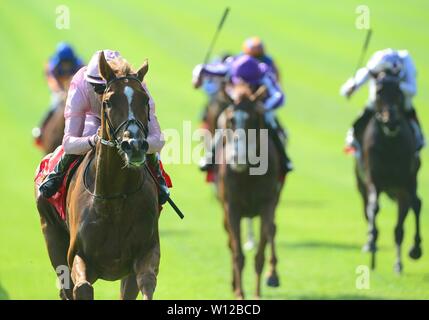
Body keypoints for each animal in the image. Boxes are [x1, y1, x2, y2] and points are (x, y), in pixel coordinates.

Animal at [216, 84, 282, 298]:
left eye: (253, 119)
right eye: (230, 119)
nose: (237, 158)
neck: (248, 174)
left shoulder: (267, 204)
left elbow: (261, 249)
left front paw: (257, 293)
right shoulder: (232, 207)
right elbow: (237, 252)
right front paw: (239, 292)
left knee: (272, 230)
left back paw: (273, 275)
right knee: (230, 241)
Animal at [354, 74, 422, 274]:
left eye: (399, 92)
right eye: (378, 92)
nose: (390, 121)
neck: (390, 144)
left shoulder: (407, 181)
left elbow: (415, 205)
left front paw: (415, 250)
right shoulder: (373, 180)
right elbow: (373, 208)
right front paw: (372, 244)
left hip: (403, 188)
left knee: (404, 221)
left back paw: (401, 262)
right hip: (361, 183)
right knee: (368, 209)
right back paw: (371, 243)